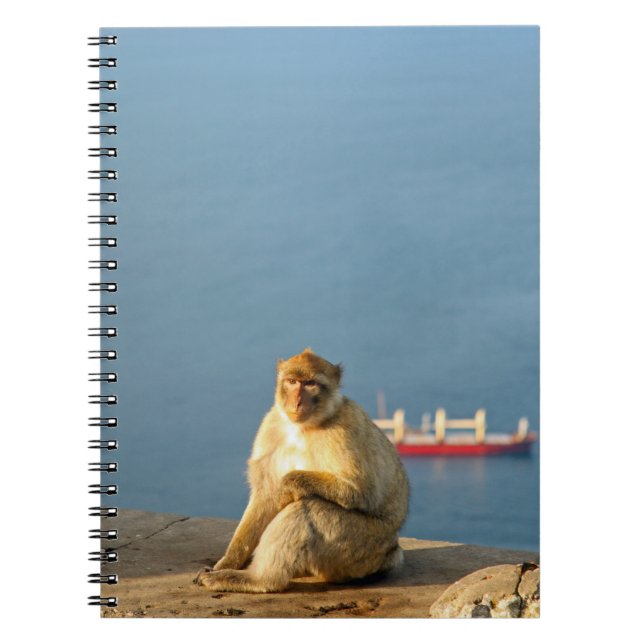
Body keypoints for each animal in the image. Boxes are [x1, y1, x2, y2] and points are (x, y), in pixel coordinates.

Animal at [194, 348, 410, 593]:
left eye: (310, 384)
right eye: (292, 381)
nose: (296, 402)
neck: (303, 427)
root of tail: (391, 552)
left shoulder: (344, 430)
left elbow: (362, 491)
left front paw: (289, 483)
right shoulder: (271, 424)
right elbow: (265, 496)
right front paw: (228, 561)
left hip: (363, 545)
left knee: (307, 508)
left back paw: (260, 580)